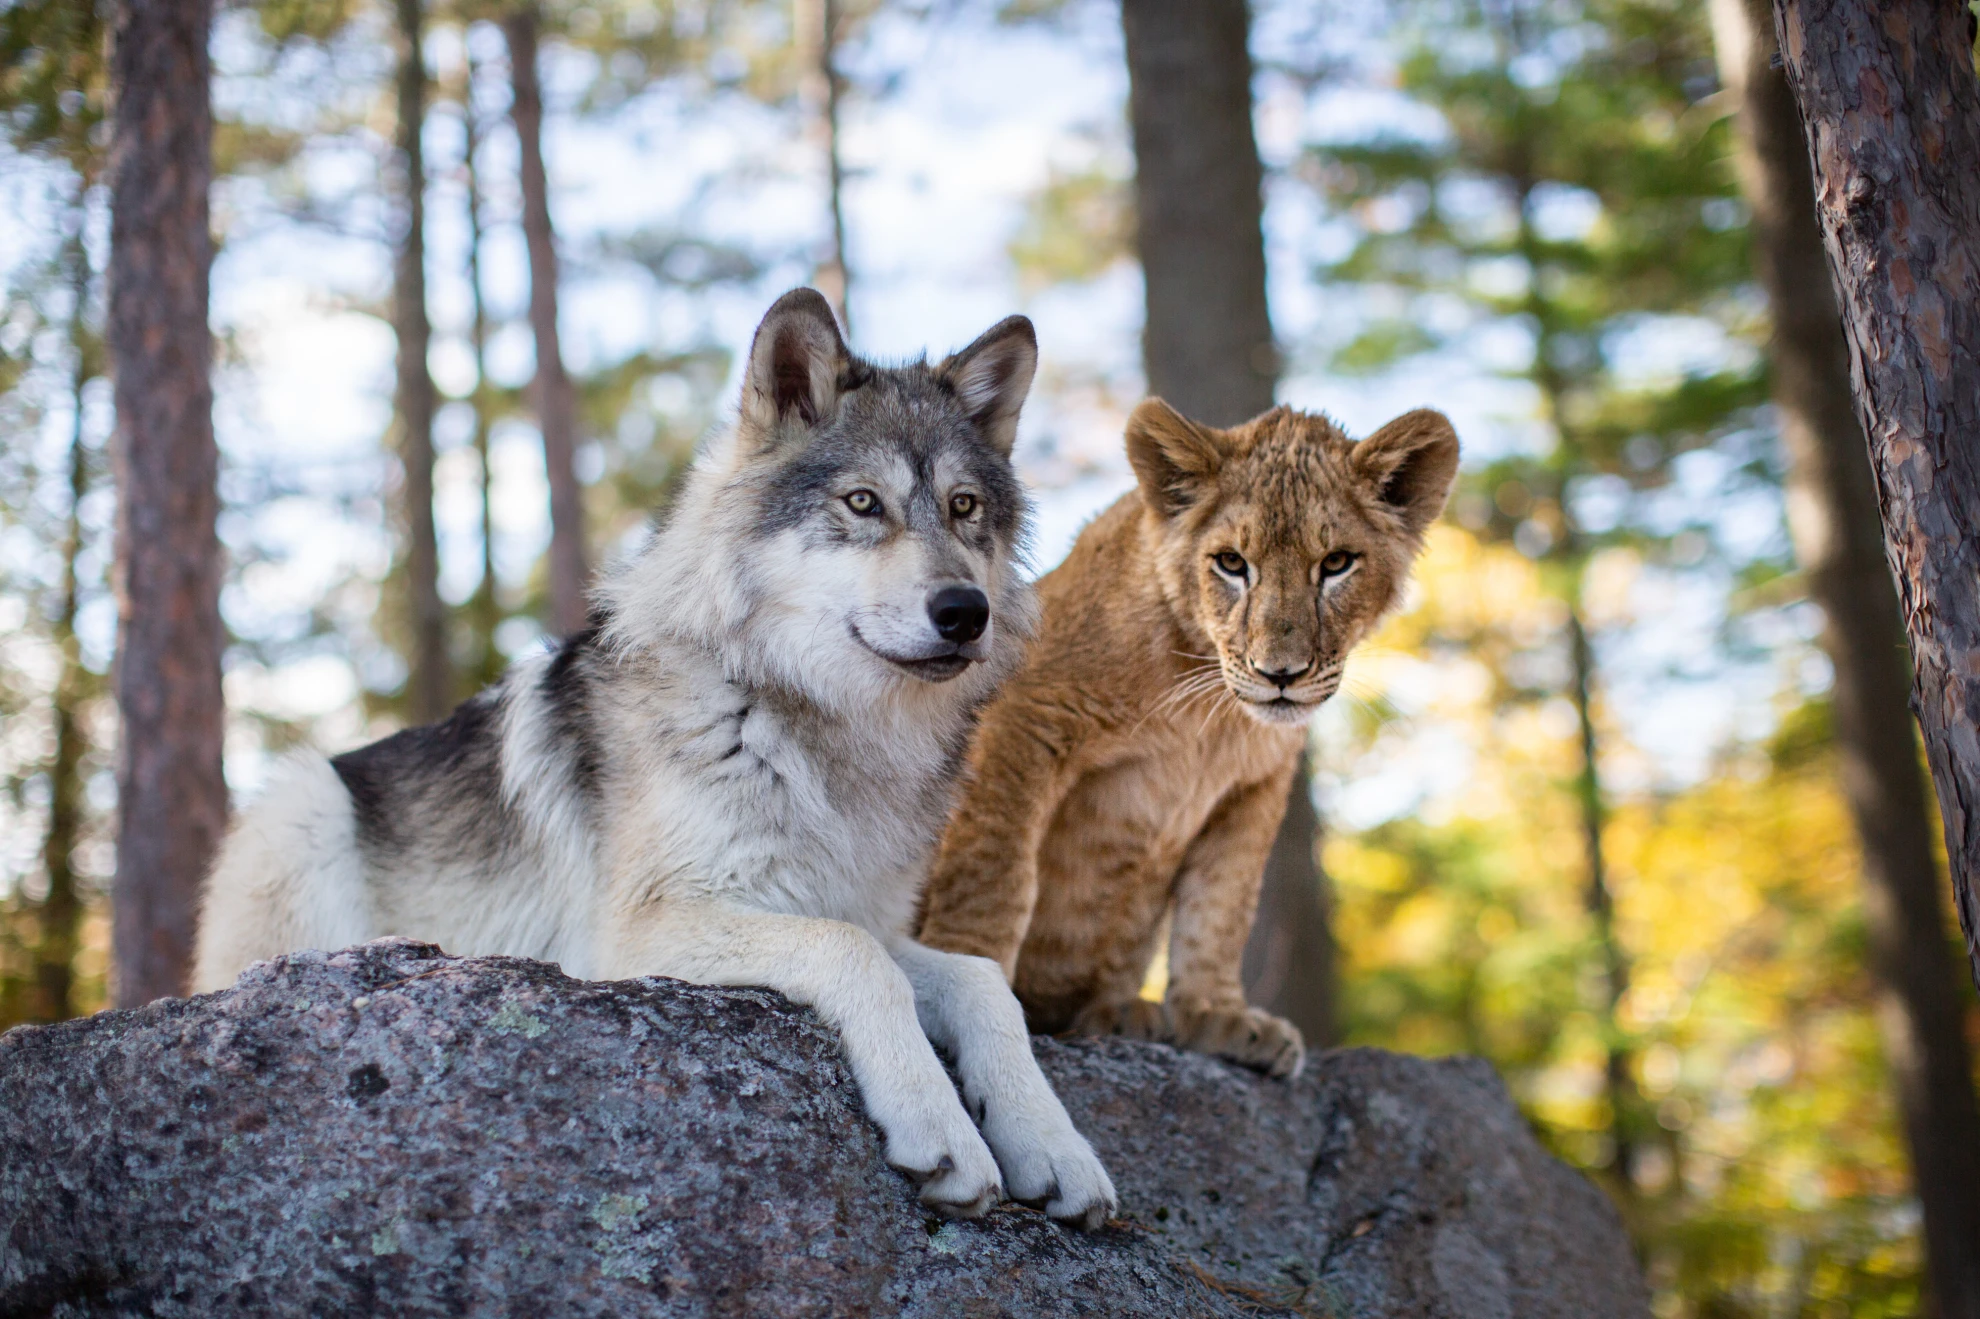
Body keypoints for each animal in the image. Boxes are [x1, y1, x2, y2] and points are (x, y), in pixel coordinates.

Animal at [193, 289, 1116, 1227]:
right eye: (863, 502)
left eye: (965, 509)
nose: (965, 611)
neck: (816, 726)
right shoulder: (636, 934)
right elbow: (854, 957)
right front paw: (942, 1127)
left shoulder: (860, 910)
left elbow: (981, 981)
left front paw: (1054, 1144)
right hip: (302, 802)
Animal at [917, 398, 1458, 1077]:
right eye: (1231, 563)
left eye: (1336, 563)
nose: (1281, 675)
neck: (1212, 714)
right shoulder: (1022, 717)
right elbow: (994, 868)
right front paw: (970, 978)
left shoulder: (1256, 786)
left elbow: (1221, 907)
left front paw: (1216, 1017)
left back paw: (1120, 1013)